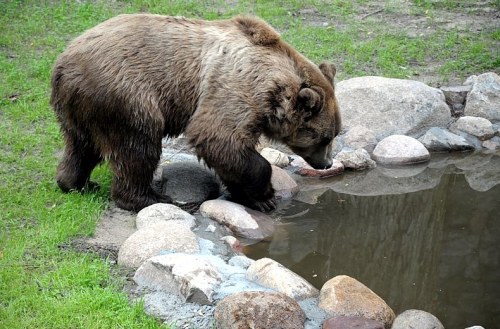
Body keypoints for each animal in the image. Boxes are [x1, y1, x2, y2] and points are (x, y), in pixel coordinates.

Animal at [49, 13, 340, 210]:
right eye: (324, 137)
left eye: (335, 134)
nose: (326, 163)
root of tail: (63, 64)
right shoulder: (235, 85)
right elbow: (217, 137)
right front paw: (265, 197)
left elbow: (229, 153)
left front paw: (248, 195)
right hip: (125, 93)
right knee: (137, 146)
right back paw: (150, 197)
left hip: (80, 107)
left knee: (81, 145)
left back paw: (76, 183)